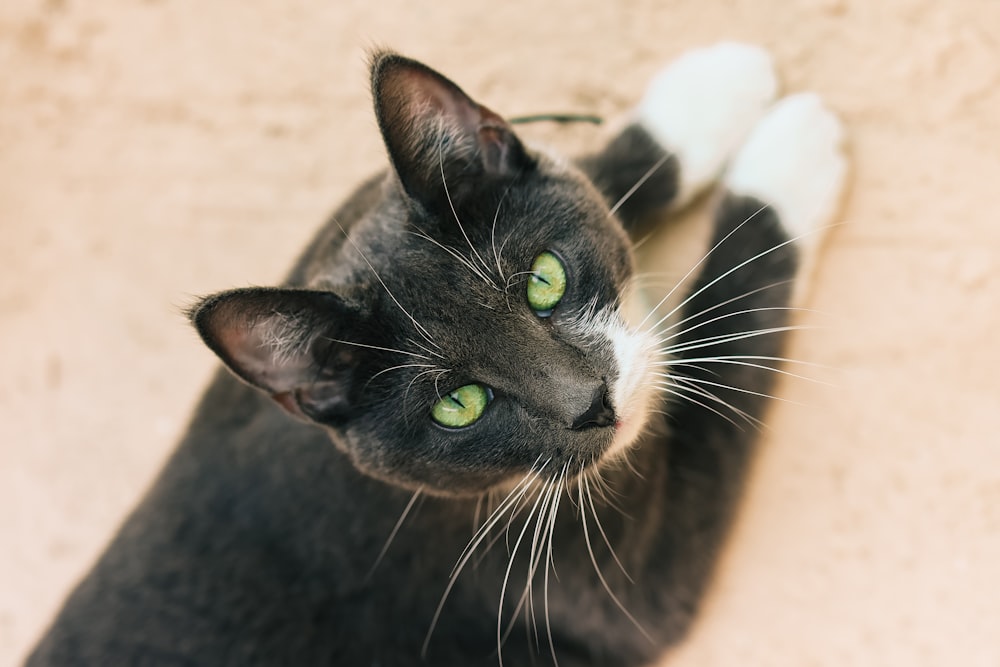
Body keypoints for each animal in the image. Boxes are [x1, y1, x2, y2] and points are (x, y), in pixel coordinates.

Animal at [27, 43, 848, 667]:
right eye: (457, 404)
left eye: (544, 279)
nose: (594, 403)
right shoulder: (589, 576)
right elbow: (725, 336)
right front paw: (791, 151)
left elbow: (588, 171)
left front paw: (712, 90)